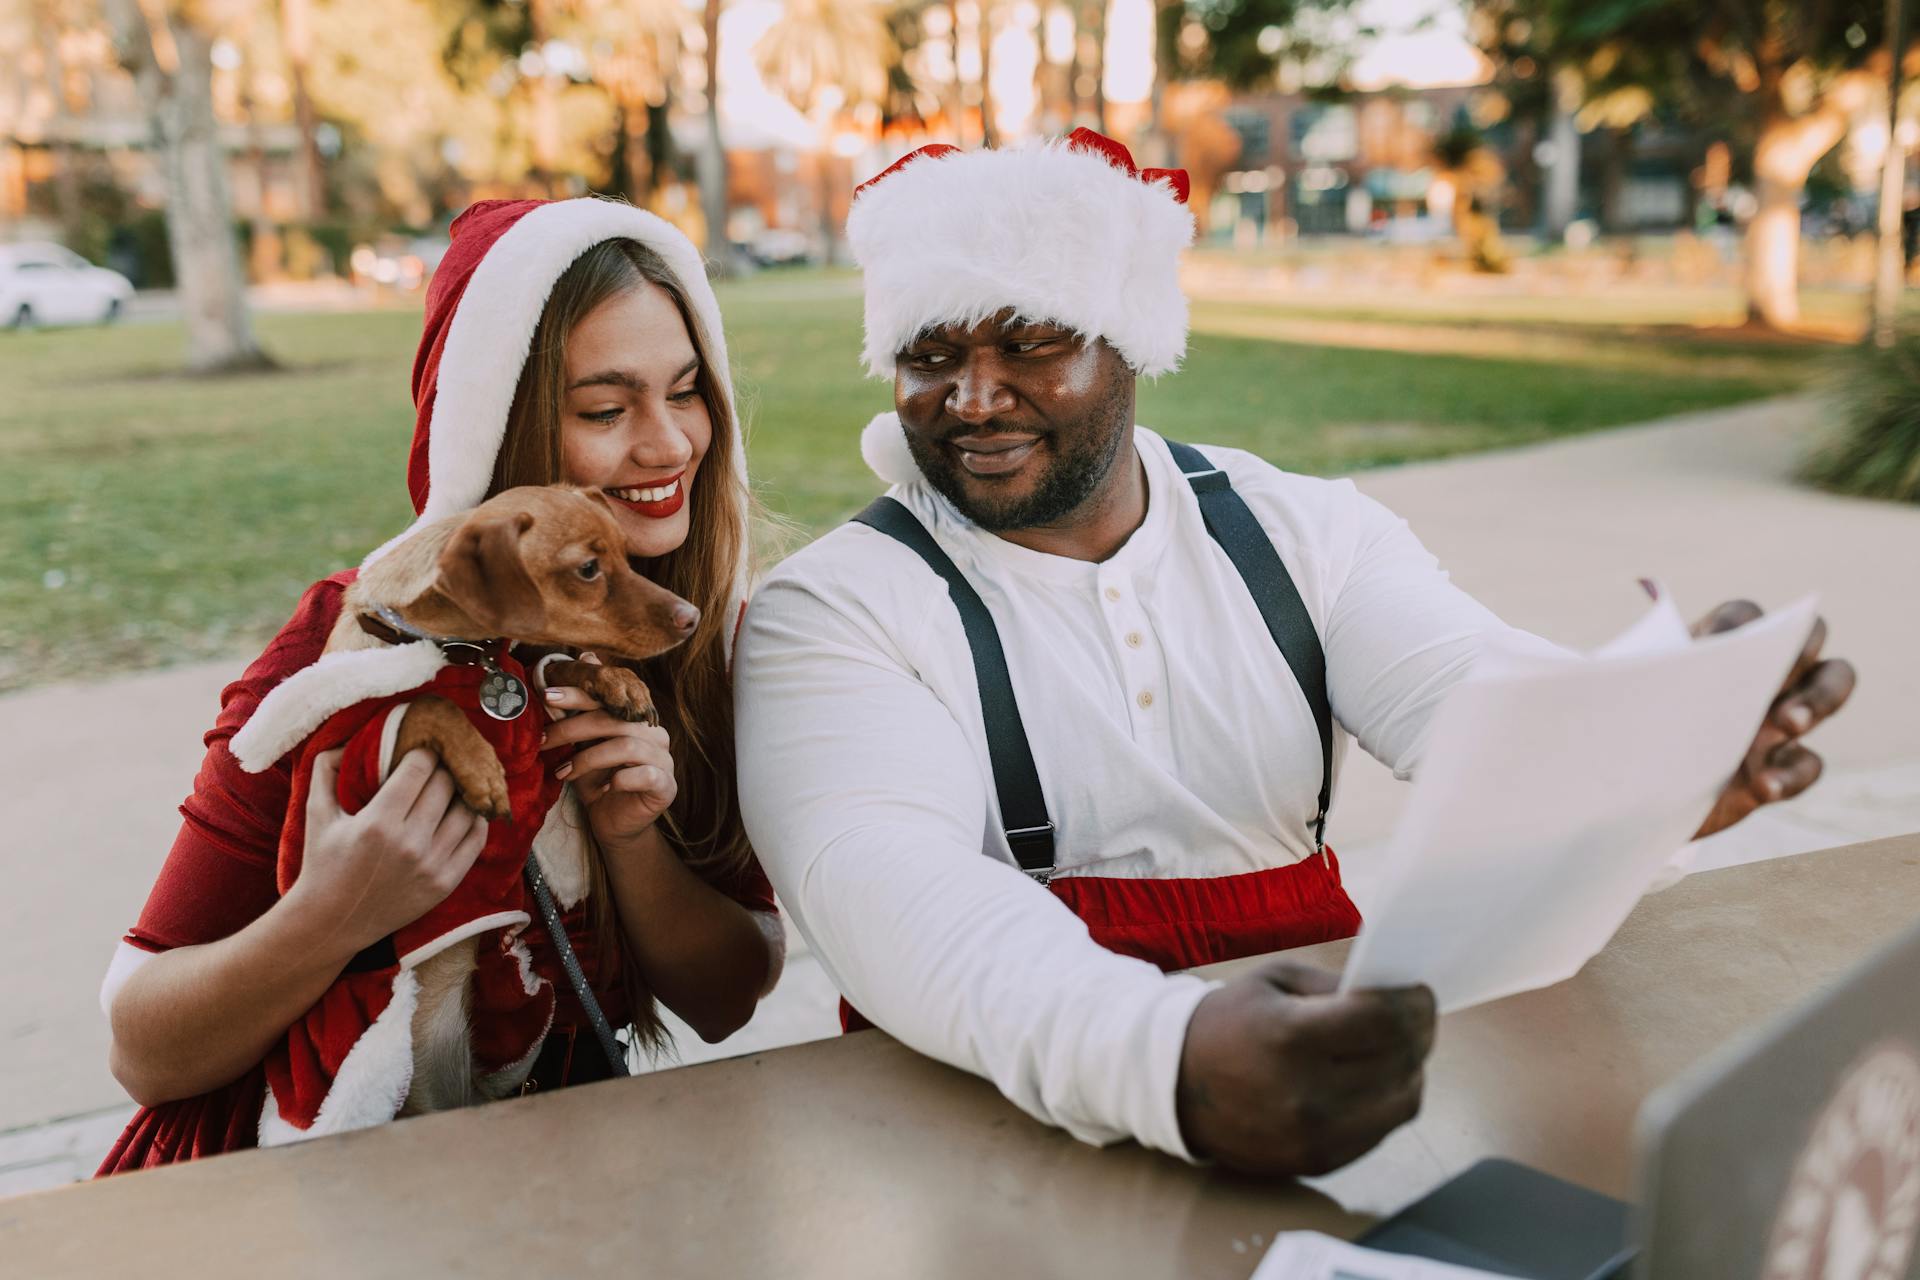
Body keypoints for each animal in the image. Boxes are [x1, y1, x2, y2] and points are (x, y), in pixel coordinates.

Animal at [322, 485, 698, 1113]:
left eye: (626, 556)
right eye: (589, 568)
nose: (691, 617)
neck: (464, 655)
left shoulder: (535, 709)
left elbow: (557, 665)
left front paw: (618, 682)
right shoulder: (350, 759)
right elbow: (422, 705)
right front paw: (480, 767)